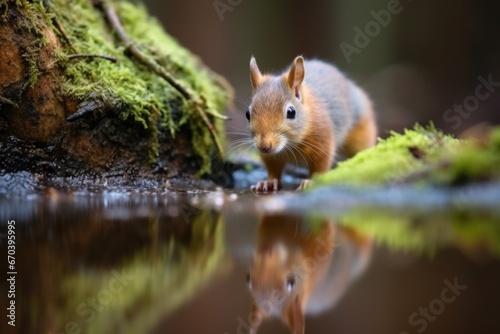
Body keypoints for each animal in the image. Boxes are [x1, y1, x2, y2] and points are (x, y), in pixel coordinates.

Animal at [246, 54, 376, 190]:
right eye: (247, 114)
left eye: (291, 112)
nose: (264, 146)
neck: (290, 144)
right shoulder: (272, 156)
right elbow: (273, 169)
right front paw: (269, 182)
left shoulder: (323, 140)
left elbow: (320, 166)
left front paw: (310, 182)